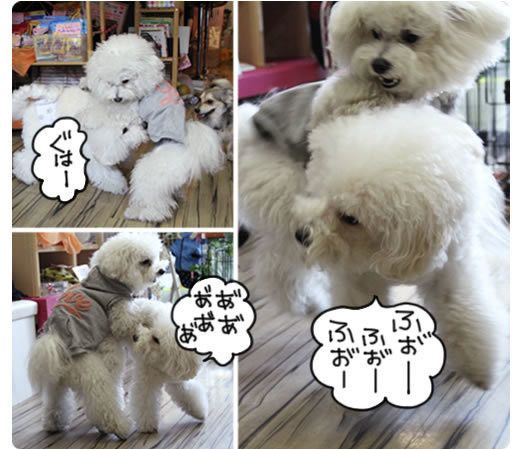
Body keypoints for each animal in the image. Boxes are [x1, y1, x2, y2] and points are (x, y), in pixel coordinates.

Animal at [12, 34, 164, 194]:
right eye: (124, 130)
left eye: (125, 80)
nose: (145, 128)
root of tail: (29, 104)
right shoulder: (95, 153)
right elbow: (104, 173)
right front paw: (119, 186)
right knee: (23, 159)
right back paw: (27, 177)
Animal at [28, 233, 165, 439]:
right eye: (145, 261)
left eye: (156, 258)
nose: (162, 270)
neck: (107, 281)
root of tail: (54, 340)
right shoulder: (118, 312)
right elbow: (136, 311)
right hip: (91, 373)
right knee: (104, 405)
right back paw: (121, 428)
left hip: (56, 383)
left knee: (55, 403)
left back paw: (53, 425)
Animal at [128, 298, 208, 432]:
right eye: (150, 326)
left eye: (156, 339)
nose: (135, 337)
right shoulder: (146, 381)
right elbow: (145, 402)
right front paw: (147, 425)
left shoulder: (177, 382)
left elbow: (189, 396)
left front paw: (200, 412)